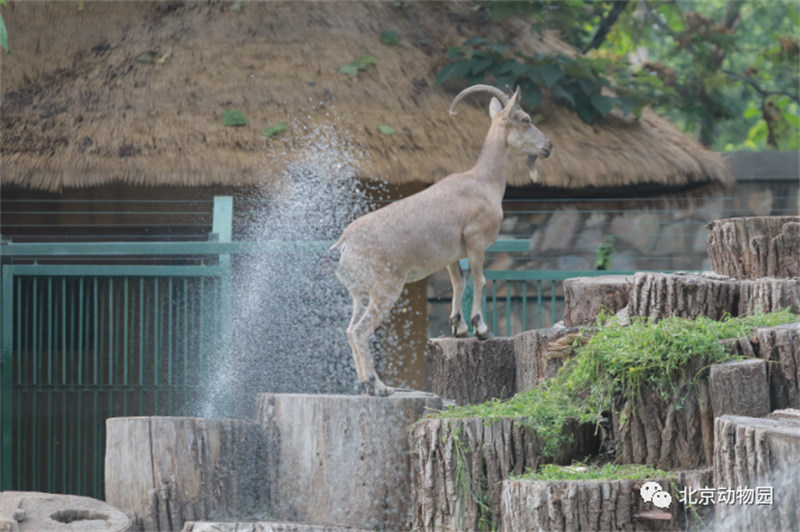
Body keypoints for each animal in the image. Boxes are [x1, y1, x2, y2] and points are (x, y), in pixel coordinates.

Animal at [330, 84, 552, 394]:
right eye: (526, 119)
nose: (548, 146)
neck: (483, 182)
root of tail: (343, 246)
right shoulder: (475, 240)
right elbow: (480, 280)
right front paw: (481, 330)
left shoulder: (451, 254)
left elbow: (458, 282)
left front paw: (459, 328)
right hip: (385, 289)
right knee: (361, 332)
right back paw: (381, 387)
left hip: (358, 293)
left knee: (350, 330)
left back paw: (366, 385)